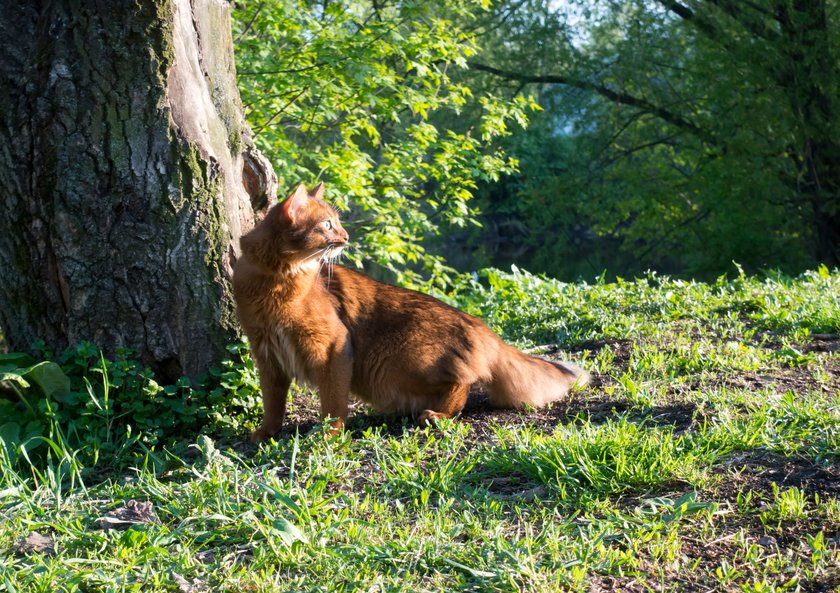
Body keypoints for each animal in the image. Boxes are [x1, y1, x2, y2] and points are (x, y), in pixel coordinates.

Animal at [230, 184, 588, 440]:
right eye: (327, 225)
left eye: (337, 224)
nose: (346, 237)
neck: (275, 282)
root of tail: (481, 327)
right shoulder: (267, 354)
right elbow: (273, 402)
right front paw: (267, 432)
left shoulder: (334, 347)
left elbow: (333, 402)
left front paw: (329, 433)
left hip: (396, 361)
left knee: (464, 383)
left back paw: (437, 415)